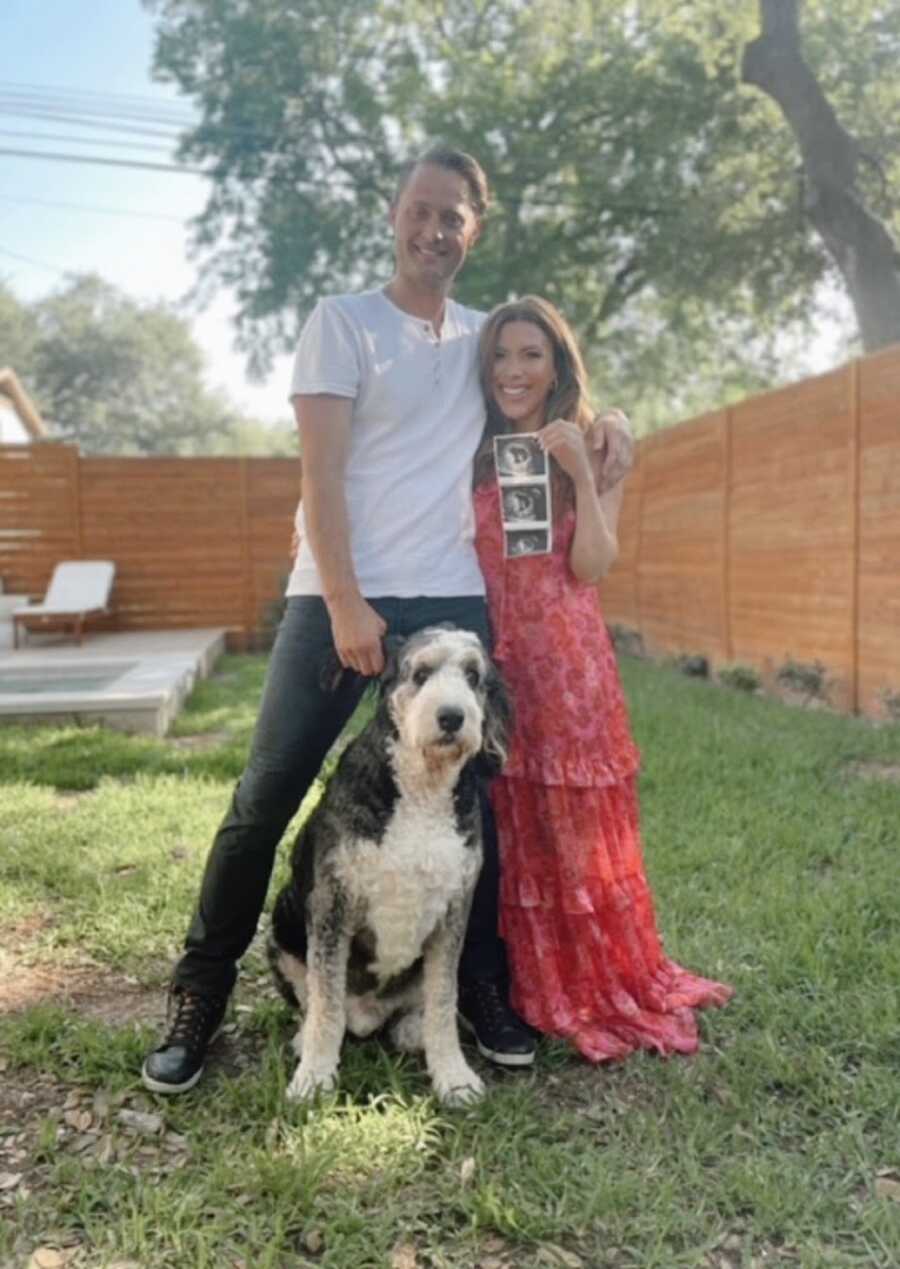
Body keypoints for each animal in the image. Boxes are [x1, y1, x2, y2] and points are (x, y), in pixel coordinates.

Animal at [266, 629, 510, 1106]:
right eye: (420, 673)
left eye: (474, 677)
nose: (452, 717)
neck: (422, 790)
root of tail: (366, 1015)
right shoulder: (332, 903)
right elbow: (325, 1000)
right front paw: (314, 1078)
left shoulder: (455, 910)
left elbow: (442, 999)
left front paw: (453, 1076)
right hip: (282, 920)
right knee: (316, 1002)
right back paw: (308, 1039)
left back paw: (413, 1030)